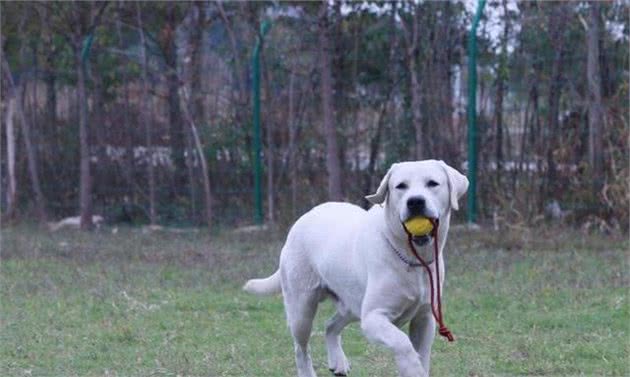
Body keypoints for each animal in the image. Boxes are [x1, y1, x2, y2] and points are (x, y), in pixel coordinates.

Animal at [244, 159, 472, 376]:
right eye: (401, 186)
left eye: (432, 183)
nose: (415, 201)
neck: (411, 258)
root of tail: (302, 219)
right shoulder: (372, 318)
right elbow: (402, 343)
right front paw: (412, 369)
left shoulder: (424, 319)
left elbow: (422, 355)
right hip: (302, 310)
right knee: (301, 349)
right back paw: (308, 372)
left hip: (352, 305)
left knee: (330, 326)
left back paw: (338, 362)